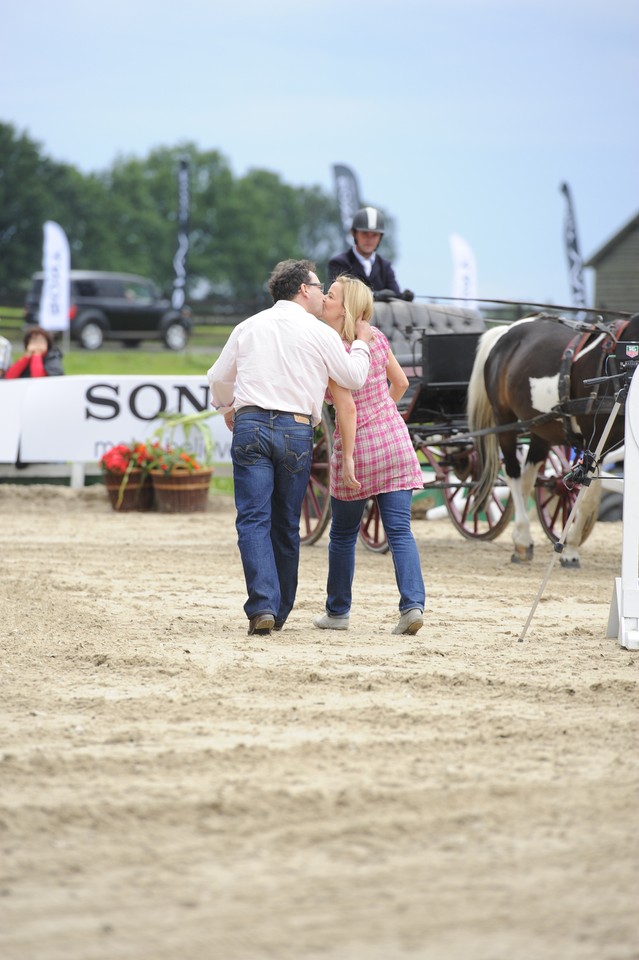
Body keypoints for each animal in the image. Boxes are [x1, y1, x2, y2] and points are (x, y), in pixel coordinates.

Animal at [464, 316, 636, 568]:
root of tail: (507, 329)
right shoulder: (596, 438)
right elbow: (586, 497)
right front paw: (570, 550)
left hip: (541, 427)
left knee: (527, 479)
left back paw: (521, 539)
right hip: (504, 420)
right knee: (513, 474)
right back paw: (523, 541)